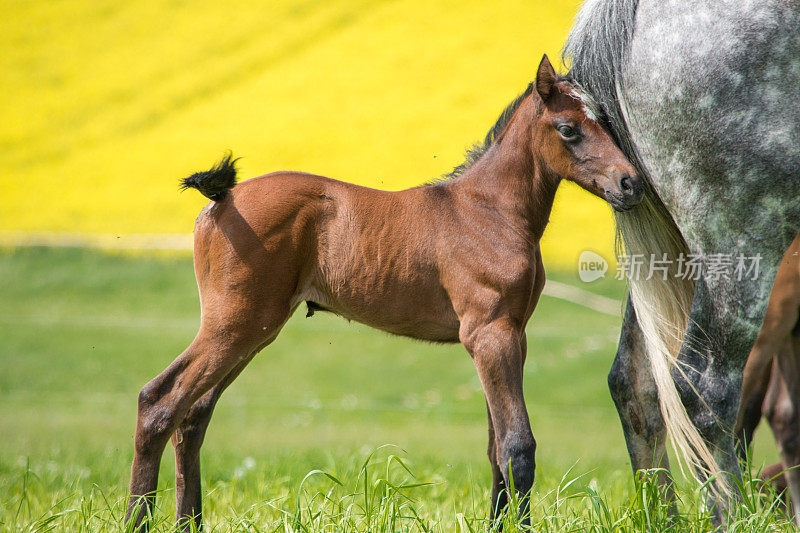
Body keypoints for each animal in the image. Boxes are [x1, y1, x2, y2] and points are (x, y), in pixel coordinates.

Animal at [125, 56, 640, 528]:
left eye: (606, 120)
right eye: (569, 128)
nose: (629, 183)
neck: (488, 210)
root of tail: (220, 201)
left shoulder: (514, 335)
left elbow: (496, 446)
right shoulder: (490, 334)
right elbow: (517, 446)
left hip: (252, 332)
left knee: (193, 415)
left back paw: (188, 521)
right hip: (235, 325)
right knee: (159, 402)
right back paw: (136, 518)